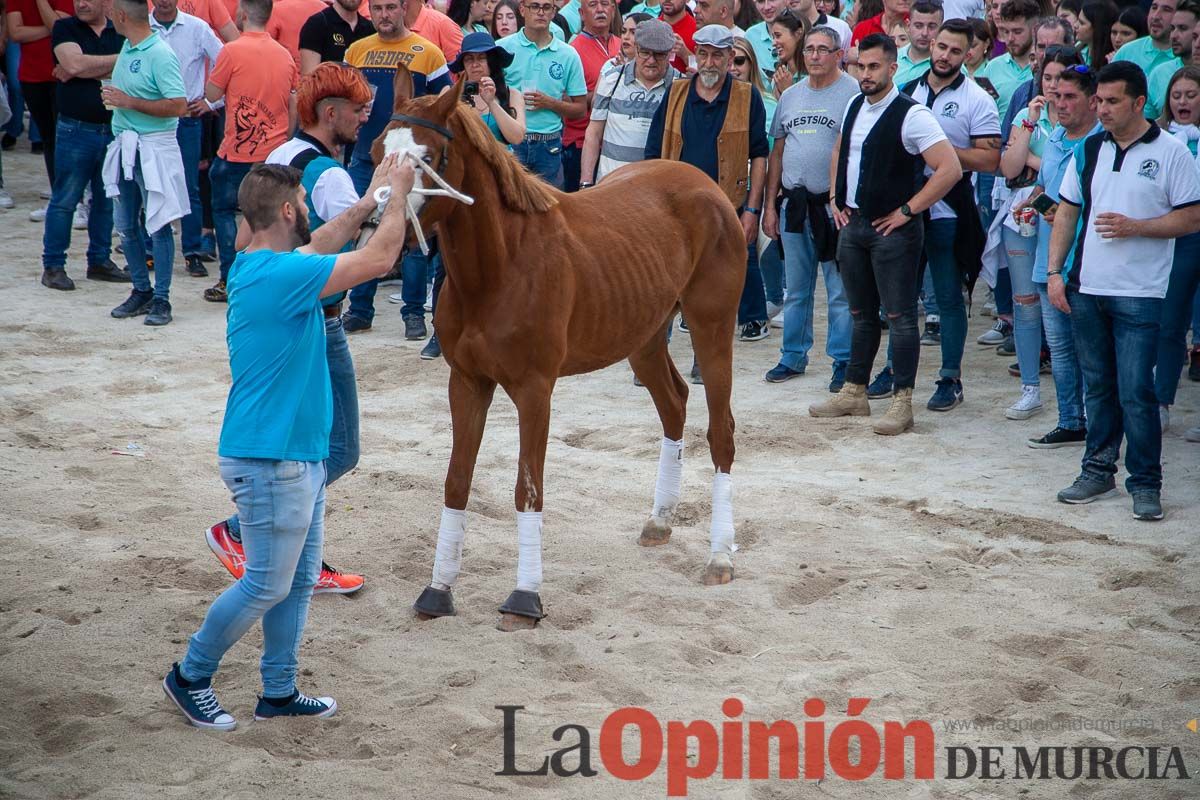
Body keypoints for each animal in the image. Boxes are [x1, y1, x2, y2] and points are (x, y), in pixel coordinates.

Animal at [374, 70, 744, 633]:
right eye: (379, 148)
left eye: (429, 157)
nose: (378, 221)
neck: (500, 267)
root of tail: (706, 185)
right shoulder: (467, 382)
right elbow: (457, 482)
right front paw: (437, 590)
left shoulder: (534, 390)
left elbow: (528, 487)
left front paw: (525, 597)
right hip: (643, 337)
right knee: (675, 405)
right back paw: (659, 521)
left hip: (711, 327)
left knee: (720, 430)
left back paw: (720, 556)